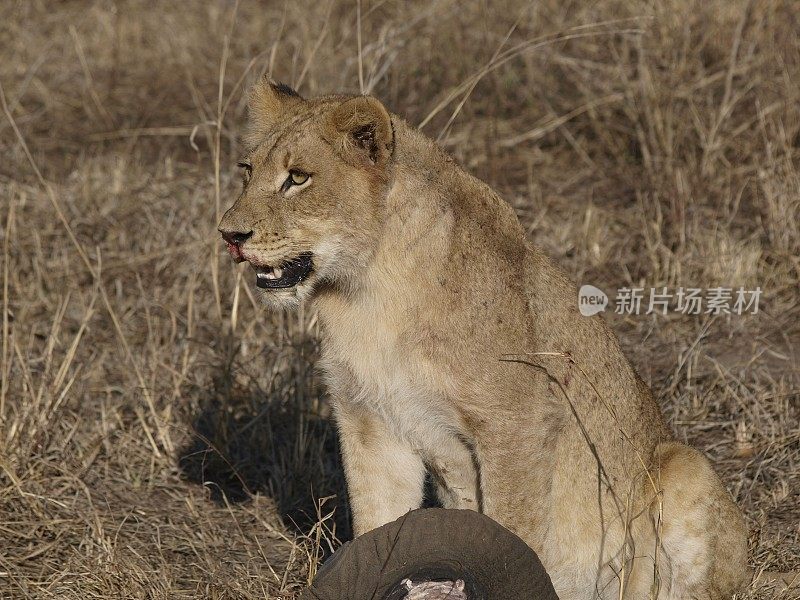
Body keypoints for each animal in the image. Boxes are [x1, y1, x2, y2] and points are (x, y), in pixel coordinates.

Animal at [217, 77, 752, 596]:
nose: (229, 235)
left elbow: (512, 529)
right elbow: (376, 522)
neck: (367, 292)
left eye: (298, 178)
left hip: (683, 466)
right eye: (247, 171)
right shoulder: (370, 422)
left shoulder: (517, 423)